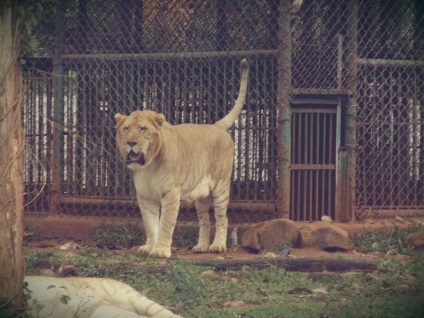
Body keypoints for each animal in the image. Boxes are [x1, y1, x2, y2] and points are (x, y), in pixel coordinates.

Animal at [115, 59, 248, 258]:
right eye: (126, 128)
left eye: (143, 129)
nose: (131, 142)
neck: (147, 166)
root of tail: (217, 126)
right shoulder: (145, 196)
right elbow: (150, 224)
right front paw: (150, 246)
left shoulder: (170, 193)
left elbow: (165, 223)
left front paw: (161, 250)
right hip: (201, 195)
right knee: (205, 220)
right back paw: (201, 246)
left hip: (221, 187)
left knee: (222, 218)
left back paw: (217, 246)